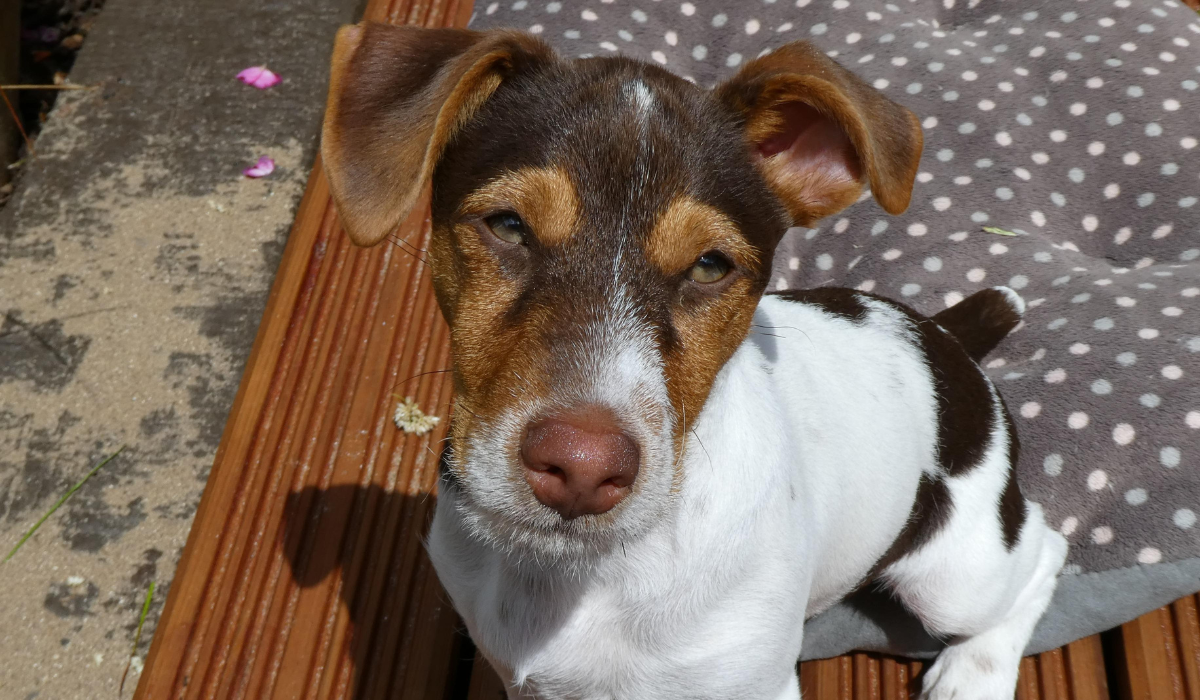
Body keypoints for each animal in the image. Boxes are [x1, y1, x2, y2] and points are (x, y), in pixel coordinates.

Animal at [321, 21, 1070, 700]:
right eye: (507, 225)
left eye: (711, 266)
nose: (581, 469)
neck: (576, 576)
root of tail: (942, 337)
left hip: (957, 574)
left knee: (1044, 555)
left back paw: (972, 676)